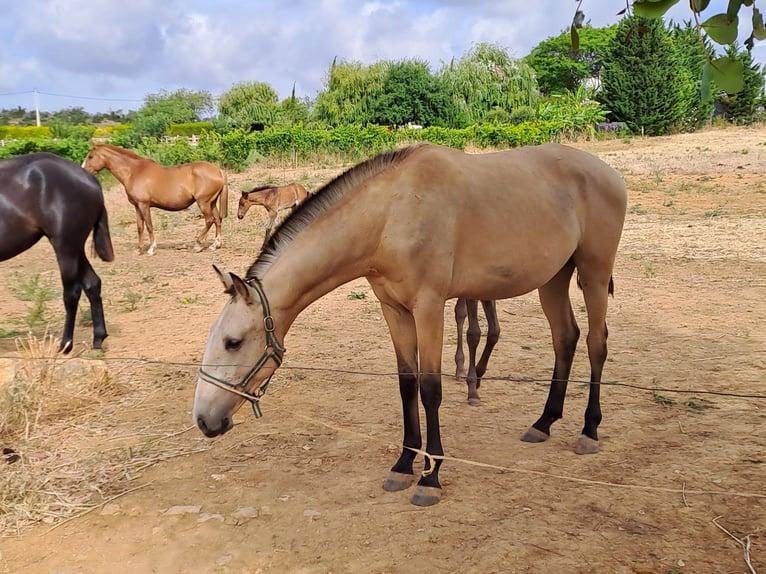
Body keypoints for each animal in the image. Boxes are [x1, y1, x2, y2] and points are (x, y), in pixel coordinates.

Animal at [0, 153, 114, 354]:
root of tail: (89, 178)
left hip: (65, 247)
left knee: (72, 293)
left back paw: (65, 344)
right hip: (75, 248)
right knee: (92, 283)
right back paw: (98, 339)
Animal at [83, 145, 230, 258]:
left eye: (90, 156)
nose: (83, 170)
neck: (134, 172)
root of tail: (218, 170)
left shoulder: (144, 205)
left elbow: (149, 225)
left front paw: (151, 249)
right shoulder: (137, 206)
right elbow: (140, 227)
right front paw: (139, 250)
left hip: (203, 202)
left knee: (209, 220)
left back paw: (198, 245)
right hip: (211, 203)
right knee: (217, 220)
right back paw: (215, 245)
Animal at [194, 144, 632, 508]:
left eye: (233, 342)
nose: (204, 421)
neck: (390, 214)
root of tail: (609, 173)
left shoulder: (429, 307)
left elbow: (430, 388)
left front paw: (430, 477)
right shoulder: (394, 310)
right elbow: (407, 385)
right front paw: (404, 465)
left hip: (593, 272)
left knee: (596, 343)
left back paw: (589, 431)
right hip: (554, 278)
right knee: (565, 338)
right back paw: (543, 422)